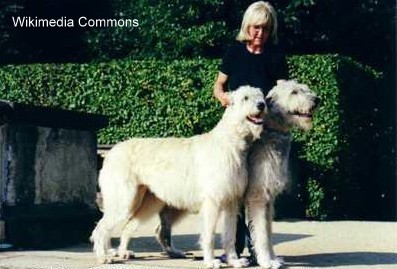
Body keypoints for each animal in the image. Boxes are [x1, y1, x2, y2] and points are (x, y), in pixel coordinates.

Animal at [88, 85, 264, 266]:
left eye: (261, 95)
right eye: (245, 98)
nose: (262, 105)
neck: (230, 141)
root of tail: (112, 152)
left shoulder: (231, 201)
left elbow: (230, 234)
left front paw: (234, 260)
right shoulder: (212, 202)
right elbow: (209, 235)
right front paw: (210, 261)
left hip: (153, 202)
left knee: (139, 227)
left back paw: (132, 252)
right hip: (125, 199)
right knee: (100, 228)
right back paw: (103, 256)